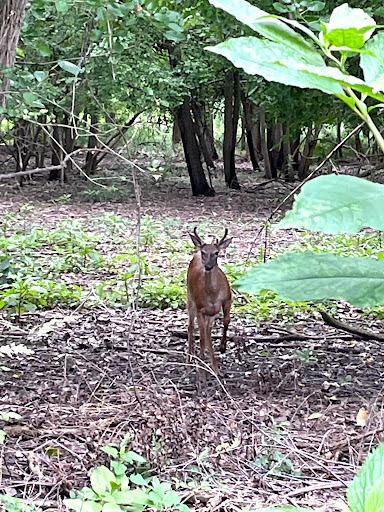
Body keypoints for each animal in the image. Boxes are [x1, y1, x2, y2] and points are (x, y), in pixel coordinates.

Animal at [188, 227, 232, 376]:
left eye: (216, 253)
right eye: (204, 252)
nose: (207, 266)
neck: (213, 294)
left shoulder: (227, 299)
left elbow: (226, 321)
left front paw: (223, 347)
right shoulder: (200, 307)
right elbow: (201, 337)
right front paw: (201, 369)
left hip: (210, 313)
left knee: (207, 333)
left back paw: (215, 367)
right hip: (190, 299)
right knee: (192, 328)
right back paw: (191, 360)